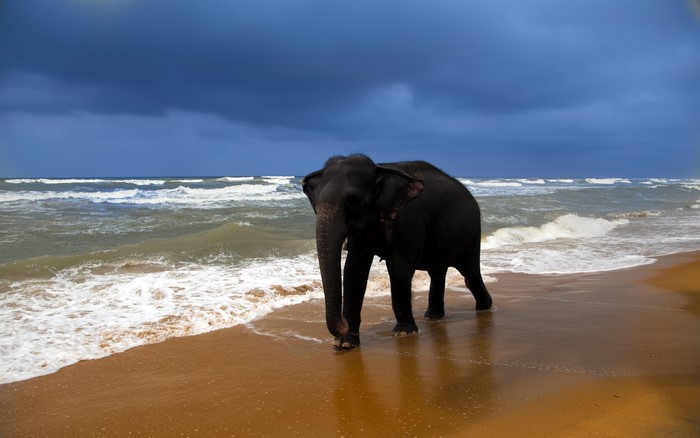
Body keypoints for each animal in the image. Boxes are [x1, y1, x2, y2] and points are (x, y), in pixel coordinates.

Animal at [302, 154, 492, 349]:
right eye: (316, 202)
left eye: (352, 201)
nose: (343, 324)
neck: (380, 169)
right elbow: (353, 272)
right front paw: (345, 344)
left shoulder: (409, 221)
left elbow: (400, 270)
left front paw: (404, 333)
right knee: (438, 273)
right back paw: (433, 317)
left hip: (472, 234)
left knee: (470, 274)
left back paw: (485, 308)